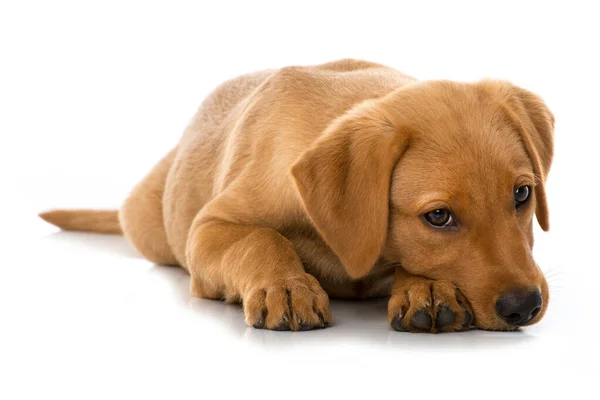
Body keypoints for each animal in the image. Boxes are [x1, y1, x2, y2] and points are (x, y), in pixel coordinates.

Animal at [39, 59, 552, 332]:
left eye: (523, 193)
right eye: (439, 217)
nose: (523, 306)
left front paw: (427, 287)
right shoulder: (207, 229)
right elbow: (260, 237)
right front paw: (286, 286)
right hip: (155, 231)